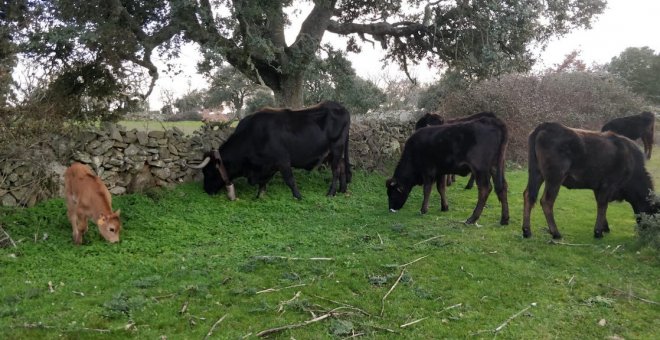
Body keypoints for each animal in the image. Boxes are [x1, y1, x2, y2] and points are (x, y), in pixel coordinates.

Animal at [189, 100, 350, 199]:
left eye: (208, 171)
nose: (206, 190)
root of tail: (340, 107)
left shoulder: (283, 160)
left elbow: (289, 180)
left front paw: (298, 196)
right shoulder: (266, 166)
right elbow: (263, 182)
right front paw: (259, 196)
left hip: (336, 149)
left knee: (336, 170)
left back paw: (331, 192)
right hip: (335, 153)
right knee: (342, 167)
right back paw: (342, 190)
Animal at [524, 122, 656, 239]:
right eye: (654, 212)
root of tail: (546, 125)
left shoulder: (598, 187)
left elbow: (601, 205)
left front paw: (604, 227)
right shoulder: (608, 184)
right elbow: (603, 205)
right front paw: (598, 232)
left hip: (536, 173)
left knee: (528, 195)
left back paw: (526, 231)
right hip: (555, 177)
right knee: (546, 201)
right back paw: (556, 233)